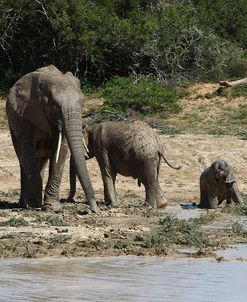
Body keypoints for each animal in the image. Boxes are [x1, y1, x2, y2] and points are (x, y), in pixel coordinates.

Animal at [5, 65, 97, 212]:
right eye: (55, 106)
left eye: (83, 103)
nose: (94, 209)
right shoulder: (25, 115)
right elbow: (27, 150)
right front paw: (34, 204)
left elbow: (61, 152)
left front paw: (51, 207)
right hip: (12, 123)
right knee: (23, 159)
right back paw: (24, 204)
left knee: (40, 160)